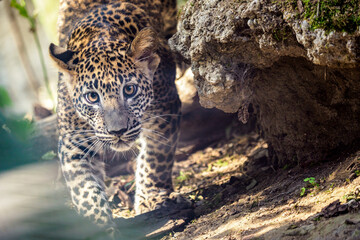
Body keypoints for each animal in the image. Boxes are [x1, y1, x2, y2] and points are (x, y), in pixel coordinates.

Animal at [48, 0, 180, 230]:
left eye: (130, 90)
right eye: (92, 97)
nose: (117, 131)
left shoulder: (166, 110)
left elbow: (156, 159)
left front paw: (150, 198)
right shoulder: (73, 140)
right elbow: (85, 190)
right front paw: (97, 226)